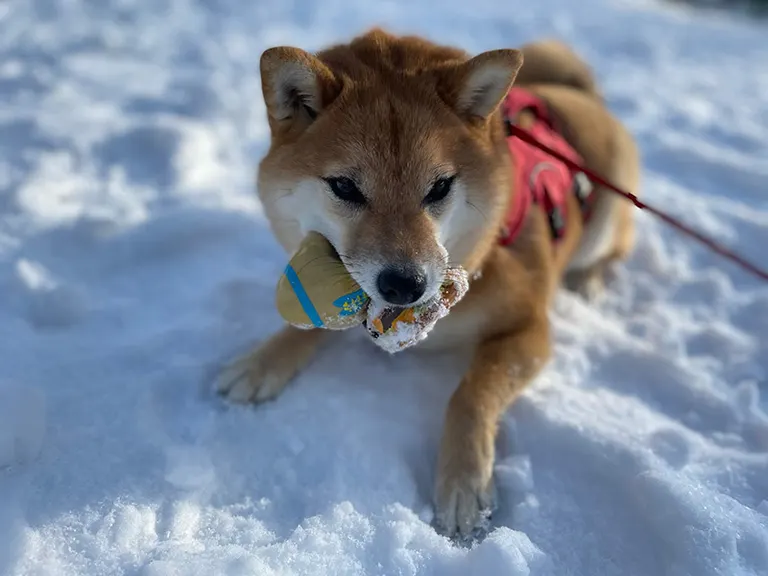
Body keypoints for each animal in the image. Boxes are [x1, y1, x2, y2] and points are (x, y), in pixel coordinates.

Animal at [218, 27, 640, 540]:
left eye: (439, 187)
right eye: (345, 187)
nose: (405, 285)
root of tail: (577, 95)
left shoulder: (528, 329)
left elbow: (470, 394)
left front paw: (463, 483)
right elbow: (310, 328)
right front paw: (262, 362)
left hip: (607, 214)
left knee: (614, 249)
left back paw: (591, 282)